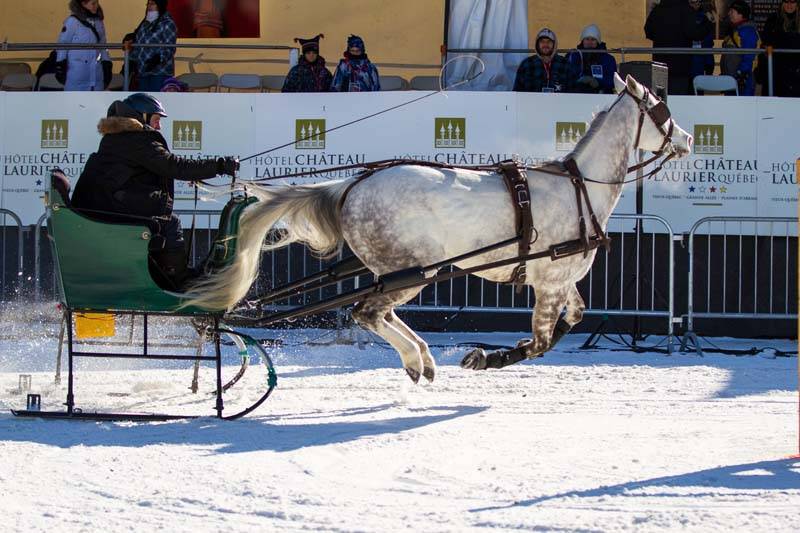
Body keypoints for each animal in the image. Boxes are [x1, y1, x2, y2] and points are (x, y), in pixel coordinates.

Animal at [183, 74, 693, 383]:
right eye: (661, 110)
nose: (687, 140)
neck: (579, 188)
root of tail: (351, 185)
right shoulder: (549, 283)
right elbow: (541, 342)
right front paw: (487, 357)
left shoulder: (561, 281)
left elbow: (575, 320)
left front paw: (486, 355)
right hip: (411, 270)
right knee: (368, 313)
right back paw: (415, 358)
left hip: (399, 272)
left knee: (380, 315)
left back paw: (423, 358)